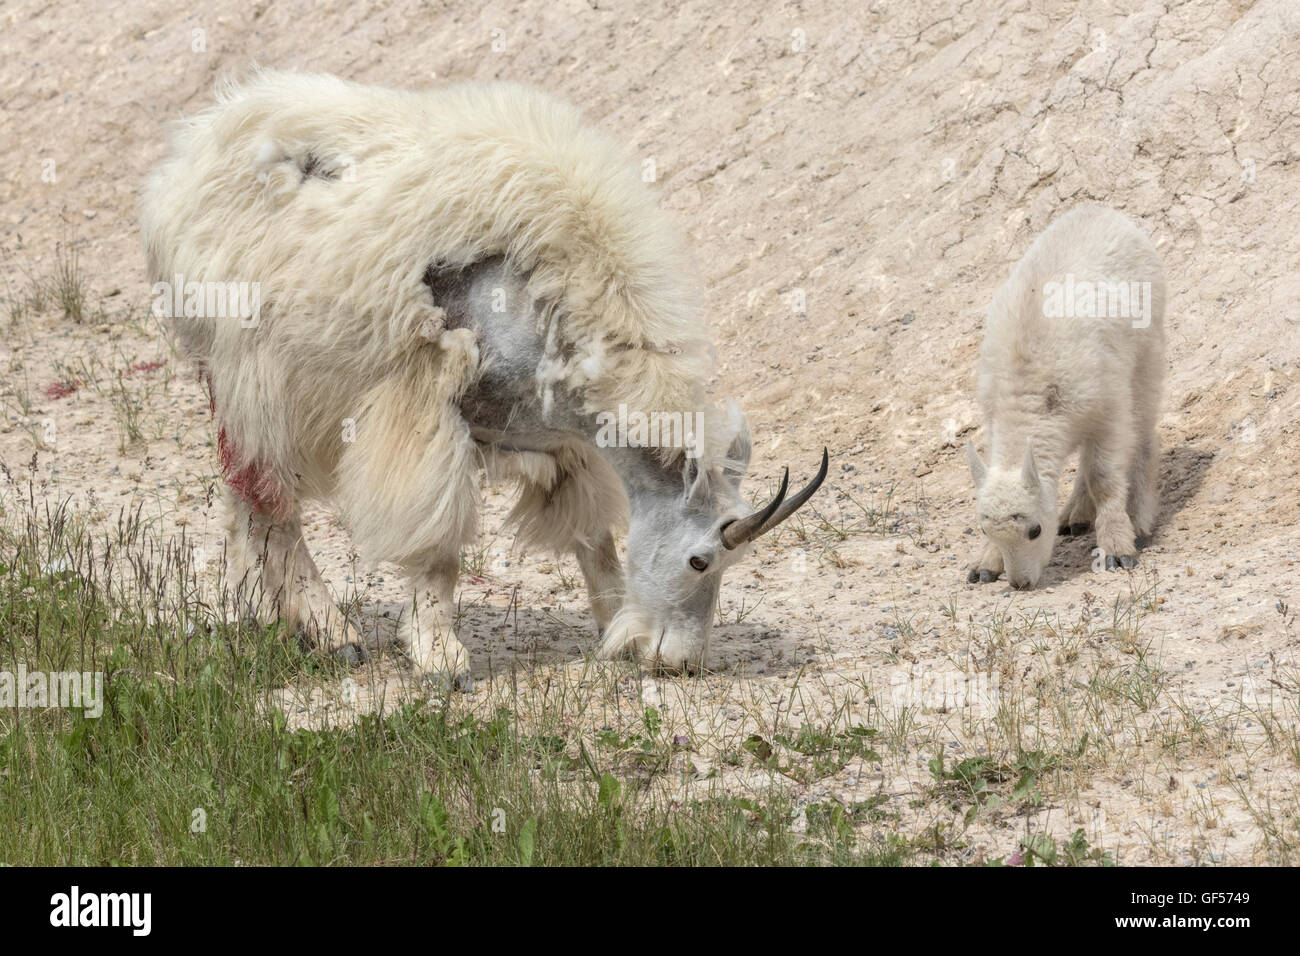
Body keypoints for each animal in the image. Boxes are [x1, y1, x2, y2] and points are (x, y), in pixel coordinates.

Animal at [142, 70, 826, 686]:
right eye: (699, 559)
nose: (678, 662)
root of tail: (189, 158)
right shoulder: (432, 407)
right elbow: (439, 549)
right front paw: (440, 659)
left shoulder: (559, 436)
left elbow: (594, 536)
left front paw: (612, 629)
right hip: (247, 369)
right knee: (267, 495)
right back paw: (332, 631)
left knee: (246, 494)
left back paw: (266, 616)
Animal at [967, 205, 1170, 587]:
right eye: (986, 531)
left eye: (1034, 530)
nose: (1020, 583)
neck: (1029, 398)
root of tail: (1102, 211)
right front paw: (985, 564)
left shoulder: (1108, 411)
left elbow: (1103, 477)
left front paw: (1117, 548)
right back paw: (1075, 514)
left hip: (1148, 350)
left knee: (1143, 430)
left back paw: (1138, 518)